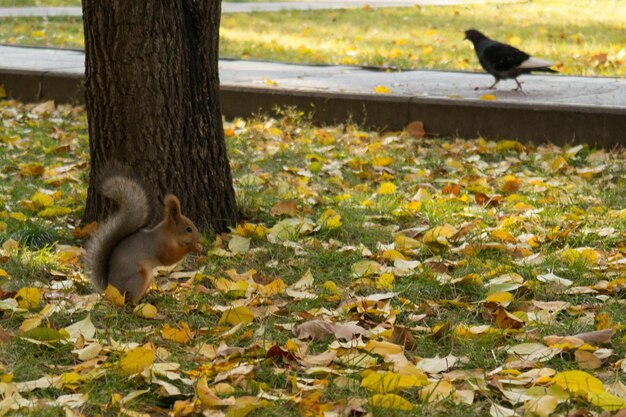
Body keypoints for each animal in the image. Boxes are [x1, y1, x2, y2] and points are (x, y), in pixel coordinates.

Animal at [83, 174, 202, 304]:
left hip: (148, 277)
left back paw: (150, 296)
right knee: (131, 300)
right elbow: (169, 259)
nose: (199, 239)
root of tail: (112, 290)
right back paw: (140, 305)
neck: (167, 234)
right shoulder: (160, 245)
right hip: (140, 277)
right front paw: (193, 247)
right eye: (189, 229)